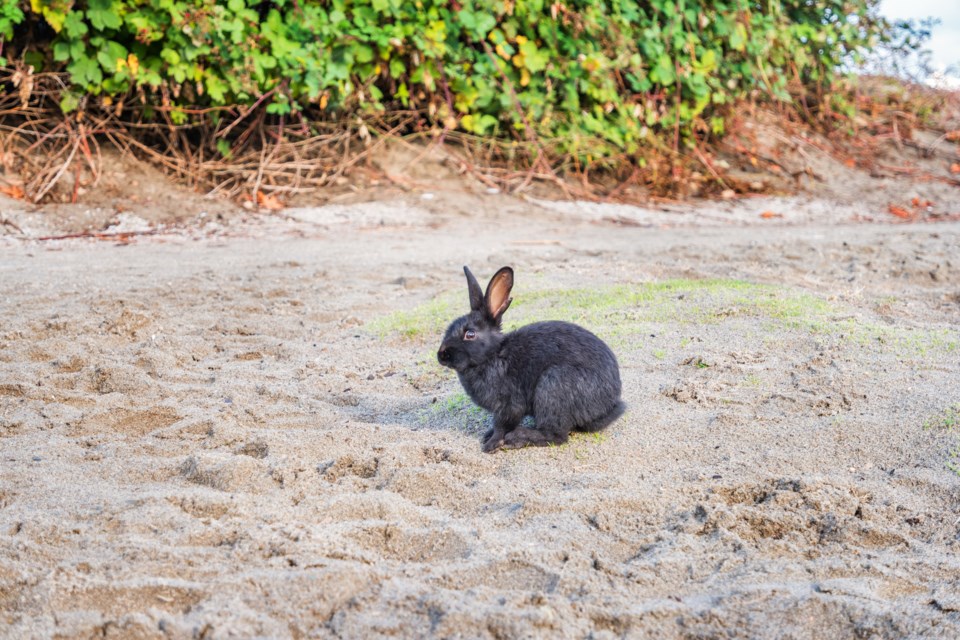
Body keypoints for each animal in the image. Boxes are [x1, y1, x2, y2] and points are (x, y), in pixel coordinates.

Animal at [438, 264, 628, 450]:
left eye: (470, 334)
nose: (441, 355)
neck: (494, 354)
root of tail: (609, 402)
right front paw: (488, 436)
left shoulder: (509, 406)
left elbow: (502, 425)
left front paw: (491, 445)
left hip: (554, 385)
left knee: (556, 435)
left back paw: (517, 438)